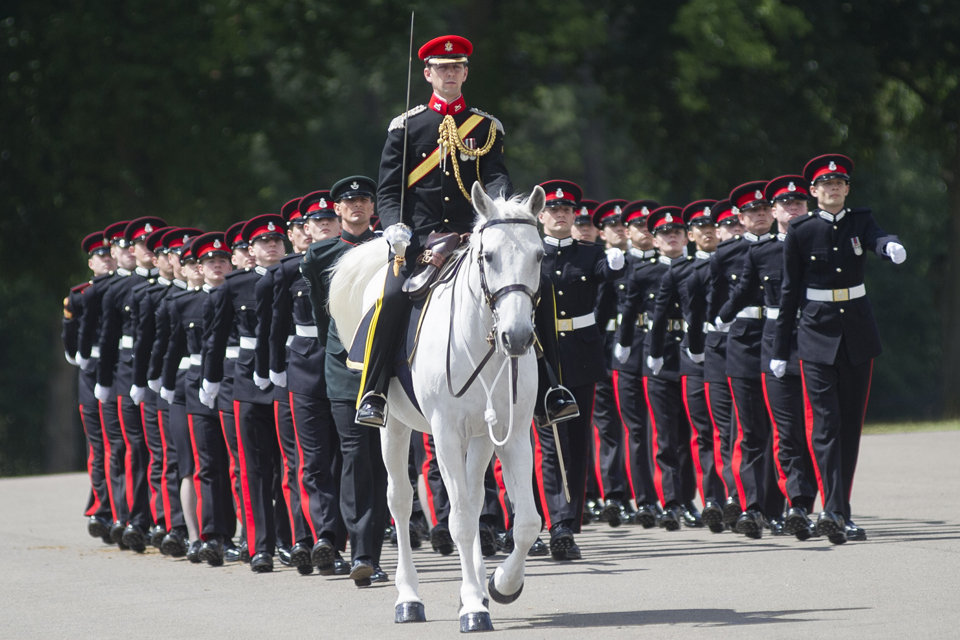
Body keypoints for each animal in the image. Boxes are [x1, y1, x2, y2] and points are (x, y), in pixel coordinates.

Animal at [326, 182, 544, 632]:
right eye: (488, 256)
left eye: (539, 255)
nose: (517, 337)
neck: (481, 337)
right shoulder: (444, 433)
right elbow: (457, 520)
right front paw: (475, 608)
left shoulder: (512, 432)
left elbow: (525, 522)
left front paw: (499, 586)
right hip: (393, 428)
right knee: (399, 500)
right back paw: (409, 598)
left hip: (479, 438)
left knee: (474, 500)